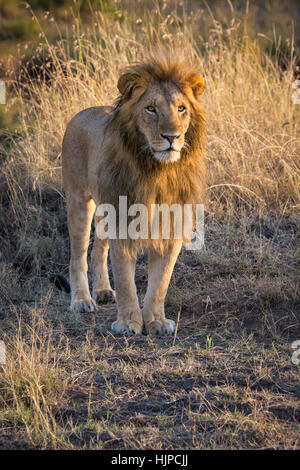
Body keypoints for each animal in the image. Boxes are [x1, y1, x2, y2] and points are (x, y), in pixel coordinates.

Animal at [61, 46, 206, 334]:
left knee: (98, 249)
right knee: (78, 255)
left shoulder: (171, 224)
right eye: (151, 109)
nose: (172, 137)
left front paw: (156, 321)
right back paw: (82, 300)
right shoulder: (122, 221)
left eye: (181, 108)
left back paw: (103, 291)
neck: (157, 171)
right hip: (79, 201)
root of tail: (81, 113)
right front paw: (129, 322)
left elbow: (160, 282)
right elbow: (126, 280)